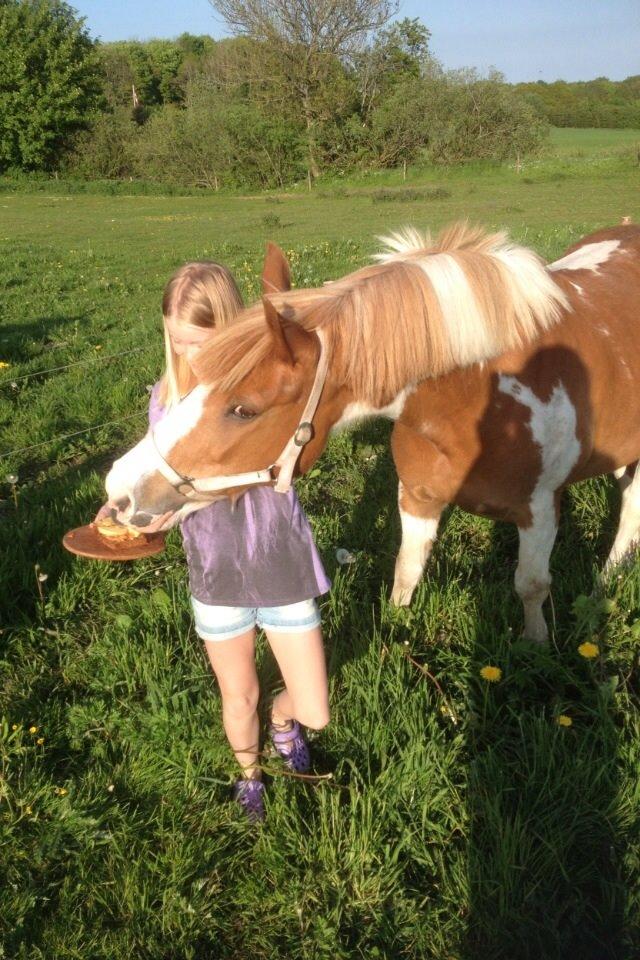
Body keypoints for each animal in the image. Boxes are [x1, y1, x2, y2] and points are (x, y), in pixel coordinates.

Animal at [105, 223, 640, 644]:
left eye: (243, 409)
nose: (120, 489)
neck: (479, 393)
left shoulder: (541, 510)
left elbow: (531, 587)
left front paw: (536, 649)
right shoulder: (418, 496)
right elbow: (406, 571)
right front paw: (398, 628)